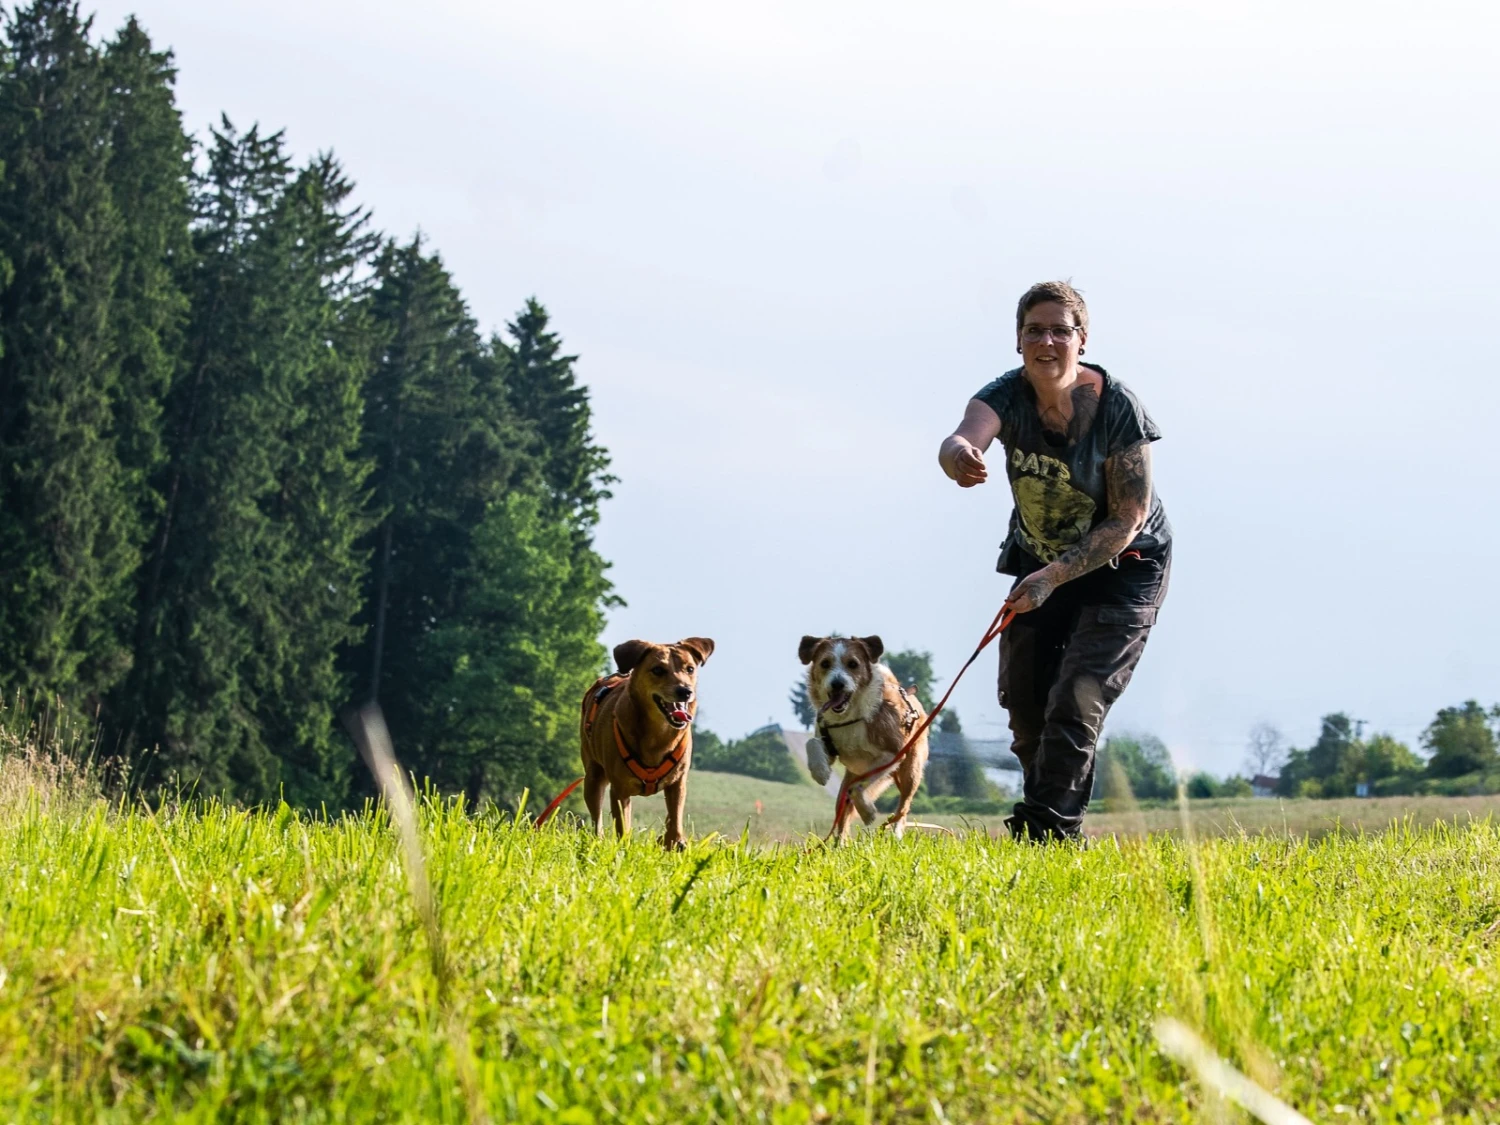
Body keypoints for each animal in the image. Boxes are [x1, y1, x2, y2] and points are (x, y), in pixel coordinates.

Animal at [576, 639, 711, 852]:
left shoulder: (678, 782)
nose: (685, 691)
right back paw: (597, 839)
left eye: (690, 668)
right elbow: (622, 824)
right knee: (596, 816)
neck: (657, 734)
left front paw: (675, 842)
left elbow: (675, 816)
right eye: (658, 670)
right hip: (593, 775)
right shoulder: (620, 789)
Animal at [798, 639, 924, 840]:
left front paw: (868, 813)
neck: (849, 716)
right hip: (847, 786)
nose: (837, 684)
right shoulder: (829, 745)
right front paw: (820, 772)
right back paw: (839, 844)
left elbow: (859, 788)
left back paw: (896, 834)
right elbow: (812, 743)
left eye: (853, 664)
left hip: (910, 772)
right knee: (843, 816)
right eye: (825, 663)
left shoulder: (892, 754)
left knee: (902, 808)